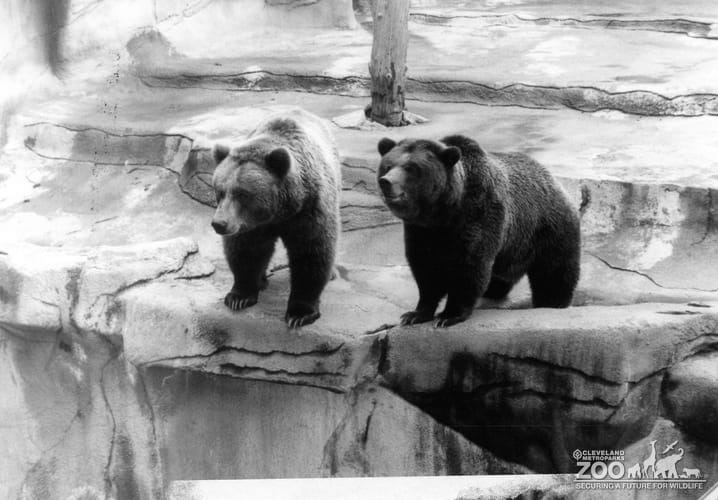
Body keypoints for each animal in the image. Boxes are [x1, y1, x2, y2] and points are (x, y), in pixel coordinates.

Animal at [211, 109, 341, 327]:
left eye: (242, 194)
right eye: (219, 191)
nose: (219, 223)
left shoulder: (310, 209)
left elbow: (311, 252)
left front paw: (300, 313)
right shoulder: (250, 225)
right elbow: (246, 250)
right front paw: (239, 296)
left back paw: (332, 273)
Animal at [376, 134, 580, 328]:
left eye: (411, 168)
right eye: (387, 165)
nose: (386, 182)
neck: (443, 213)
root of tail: (556, 181)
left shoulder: (479, 213)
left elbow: (469, 265)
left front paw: (448, 316)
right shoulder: (420, 231)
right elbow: (426, 268)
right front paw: (414, 314)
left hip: (547, 228)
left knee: (554, 270)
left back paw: (553, 302)